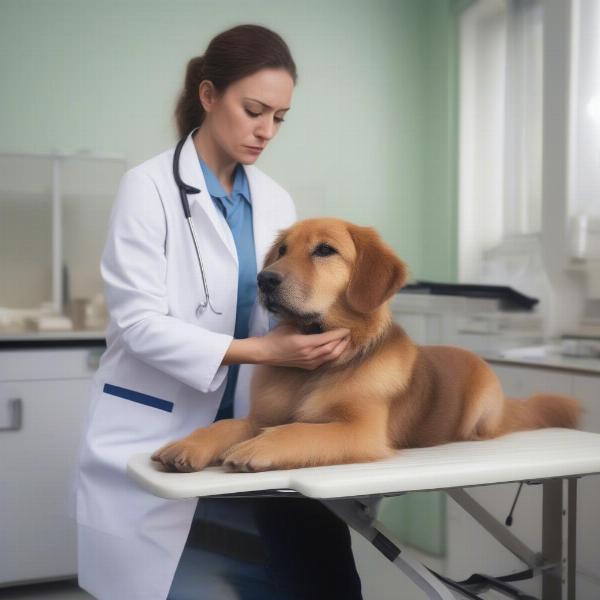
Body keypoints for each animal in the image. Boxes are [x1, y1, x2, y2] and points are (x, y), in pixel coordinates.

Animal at [151, 217, 580, 474]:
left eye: (325, 250)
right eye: (282, 250)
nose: (264, 279)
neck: (318, 371)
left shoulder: (359, 431)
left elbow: (298, 431)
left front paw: (255, 448)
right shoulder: (261, 416)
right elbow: (227, 424)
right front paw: (191, 443)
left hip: (481, 406)